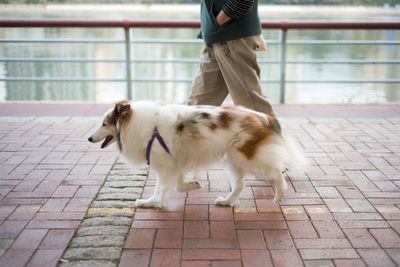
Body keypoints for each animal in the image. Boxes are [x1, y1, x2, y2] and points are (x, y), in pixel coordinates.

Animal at [88, 100, 306, 209]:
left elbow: (160, 188)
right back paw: (226, 202)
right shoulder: (175, 162)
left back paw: (280, 194)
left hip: (247, 157)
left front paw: (151, 203)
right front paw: (191, 185)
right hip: (234, 159)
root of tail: (265, 117)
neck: (144, 127)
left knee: (276, 171)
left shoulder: (165, 167)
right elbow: (178, 183)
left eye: (104, 124)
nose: (89, 139)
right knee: (240, 185)